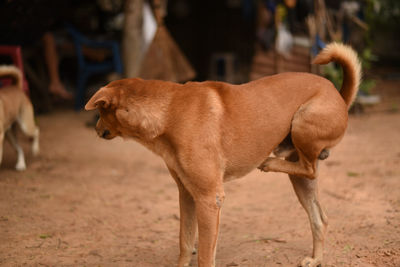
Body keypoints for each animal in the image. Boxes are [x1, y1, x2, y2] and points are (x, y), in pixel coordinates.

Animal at [86, 43, 360, 266]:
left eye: (99, 112)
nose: (96, 129)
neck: (169, 111)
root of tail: (338, 95)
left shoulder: (209, 199)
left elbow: (206, 256)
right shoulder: (187, 194)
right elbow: (185, 242)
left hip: (303, 123)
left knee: (309, 167)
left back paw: (269, 162)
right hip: (300, 180)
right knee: (319, 217)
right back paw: (316, 259)